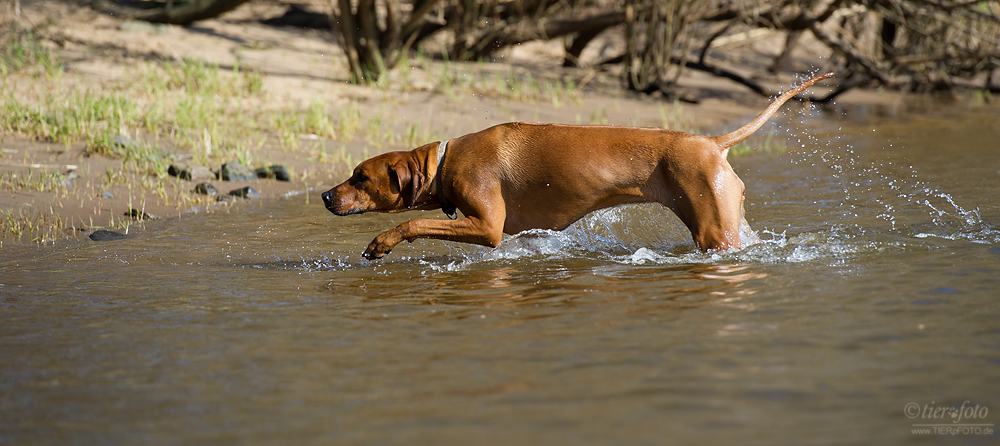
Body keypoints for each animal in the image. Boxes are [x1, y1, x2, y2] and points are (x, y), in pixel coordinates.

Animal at [322, 72, 836, 260]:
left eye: (360, 177)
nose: (326, 195)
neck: (446, 160)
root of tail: (712, 141)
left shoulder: (488, 227)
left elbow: (413, 222)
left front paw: (382, 242)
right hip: (728, 215)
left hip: (714, 228)